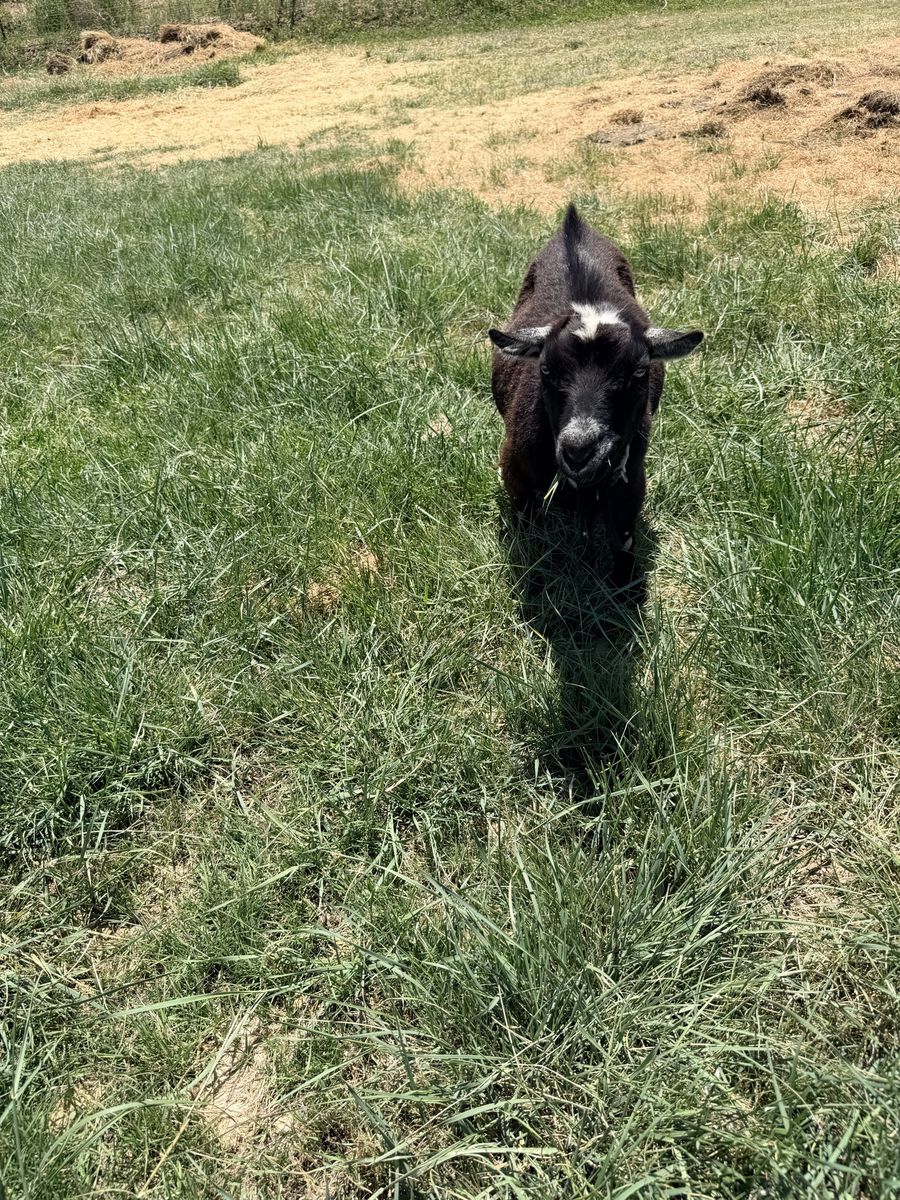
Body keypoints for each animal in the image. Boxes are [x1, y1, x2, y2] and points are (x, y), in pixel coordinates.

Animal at [489, 204, 703, 586]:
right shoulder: (516, 474)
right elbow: (529, 538)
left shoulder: (629, 478)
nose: (579, 450)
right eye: (545, 371)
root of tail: (573, 226)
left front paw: (624, 591)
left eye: (639, 372)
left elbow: (623, 538)